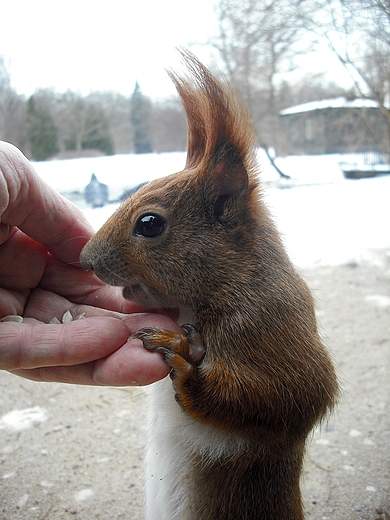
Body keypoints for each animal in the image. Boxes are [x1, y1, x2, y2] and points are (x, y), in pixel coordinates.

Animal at [80, 49, 338, 520]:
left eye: (149, 223)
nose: (85, 261)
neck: (228, 281)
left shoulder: (265, 324)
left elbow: (291, 398)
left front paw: (183, 357)